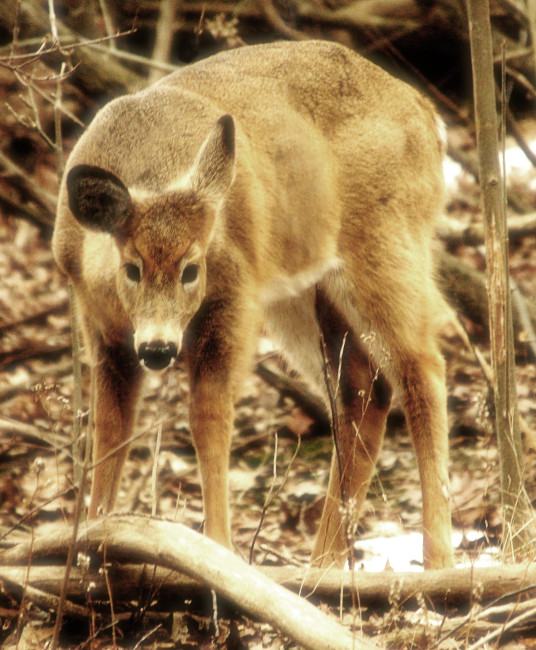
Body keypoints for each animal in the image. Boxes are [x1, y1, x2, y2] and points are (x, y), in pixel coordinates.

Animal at [52, 40, 454, 568]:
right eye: (132, 267)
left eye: (193, 268)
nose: (159, 348)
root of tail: (429, 117)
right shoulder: (103, 330)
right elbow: (109, 431)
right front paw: (92, 544)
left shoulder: (234, 300)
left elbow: (208, 417)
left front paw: (217, 549)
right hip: (302, 295)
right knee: (363, 390)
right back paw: (321, 566)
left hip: (386, 244)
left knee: (422, 369)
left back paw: (438, 562)